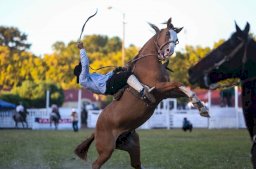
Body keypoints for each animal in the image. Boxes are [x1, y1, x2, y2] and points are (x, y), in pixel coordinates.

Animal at [75, 17, 209, 169]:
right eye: (167, 34)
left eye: (176, 39)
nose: (169, 51)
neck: (148, 64)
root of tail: (96, 130)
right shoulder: (159, 88)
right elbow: (178, 84)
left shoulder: (165, 93)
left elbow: (181, 89)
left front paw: (201, 106)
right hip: (106, 150)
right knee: (96, 164)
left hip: (132, 146)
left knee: (136, 164)